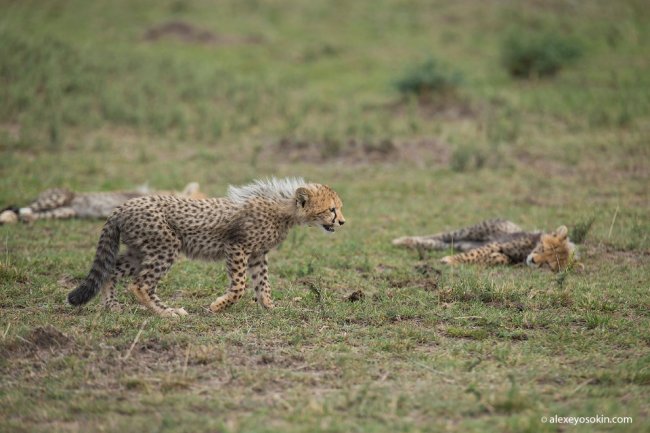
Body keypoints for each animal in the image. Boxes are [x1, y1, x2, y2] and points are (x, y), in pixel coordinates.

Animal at [66, 177, 344, 316]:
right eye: (332, 209)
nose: (342, 221)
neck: (284, 209)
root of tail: (122, 207)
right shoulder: (237, 247)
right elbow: (240, 286)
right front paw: (218, 306)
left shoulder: (257, 254)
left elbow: (262, 284)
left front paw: (270, 306)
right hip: (165, 246)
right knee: (140, 284)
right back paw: (167, 312)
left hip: (139, 251)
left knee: (112, 270)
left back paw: (111, 306)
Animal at [392, 218, 576, 272]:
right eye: (543, 249)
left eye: (548, 264)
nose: (534, 261)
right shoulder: (497, 243)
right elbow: (475, 254)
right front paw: (451, 261)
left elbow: (502, 259)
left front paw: (495, 258)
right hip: (472, 231)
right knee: (439, 236)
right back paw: (401, 240)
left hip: (459, 243)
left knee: (436, 243)